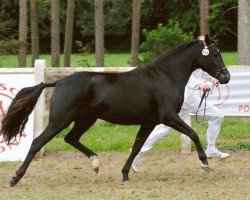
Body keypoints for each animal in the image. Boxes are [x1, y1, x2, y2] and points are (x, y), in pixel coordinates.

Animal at [0, 34, 230, 186]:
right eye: (215, 53)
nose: (226, 77)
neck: (164, 76)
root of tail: (58, 82)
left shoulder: (150, 122)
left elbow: (137, 146)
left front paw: (125, 174)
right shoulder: (168, 117)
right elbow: (193, 133)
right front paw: (205, 164)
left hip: (85, 120)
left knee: (71, 138)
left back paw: (95, 163)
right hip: (60, 120)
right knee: (38, 142)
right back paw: (15, 178)